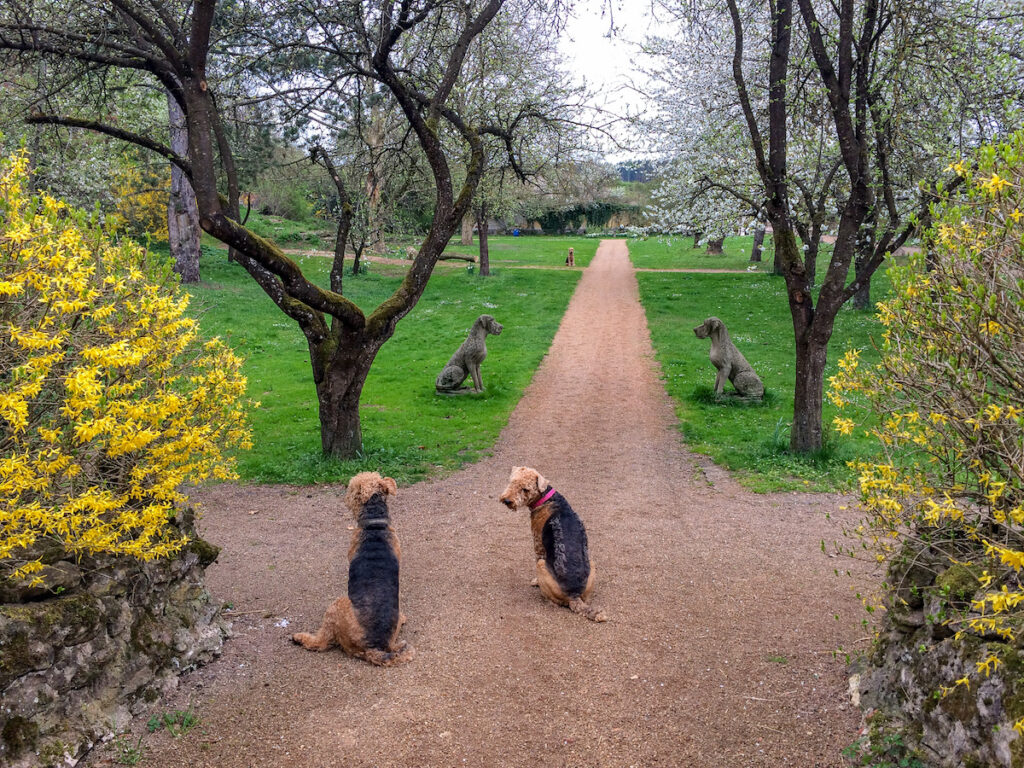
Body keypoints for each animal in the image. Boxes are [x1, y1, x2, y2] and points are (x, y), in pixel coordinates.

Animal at [290, 473, 413, 663]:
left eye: (351, 488)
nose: (344, 498)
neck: (375, 524)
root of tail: (372, 648)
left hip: (336, 606)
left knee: (321, 642)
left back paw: (300, 637)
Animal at [497, 466, 602, 622]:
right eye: (512, 481)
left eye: (525, 489)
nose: (507, 500)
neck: (547, 499)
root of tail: (574, 595)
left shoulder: (538, 544)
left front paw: (535, 581)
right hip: (592, 564)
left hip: (542, 564)